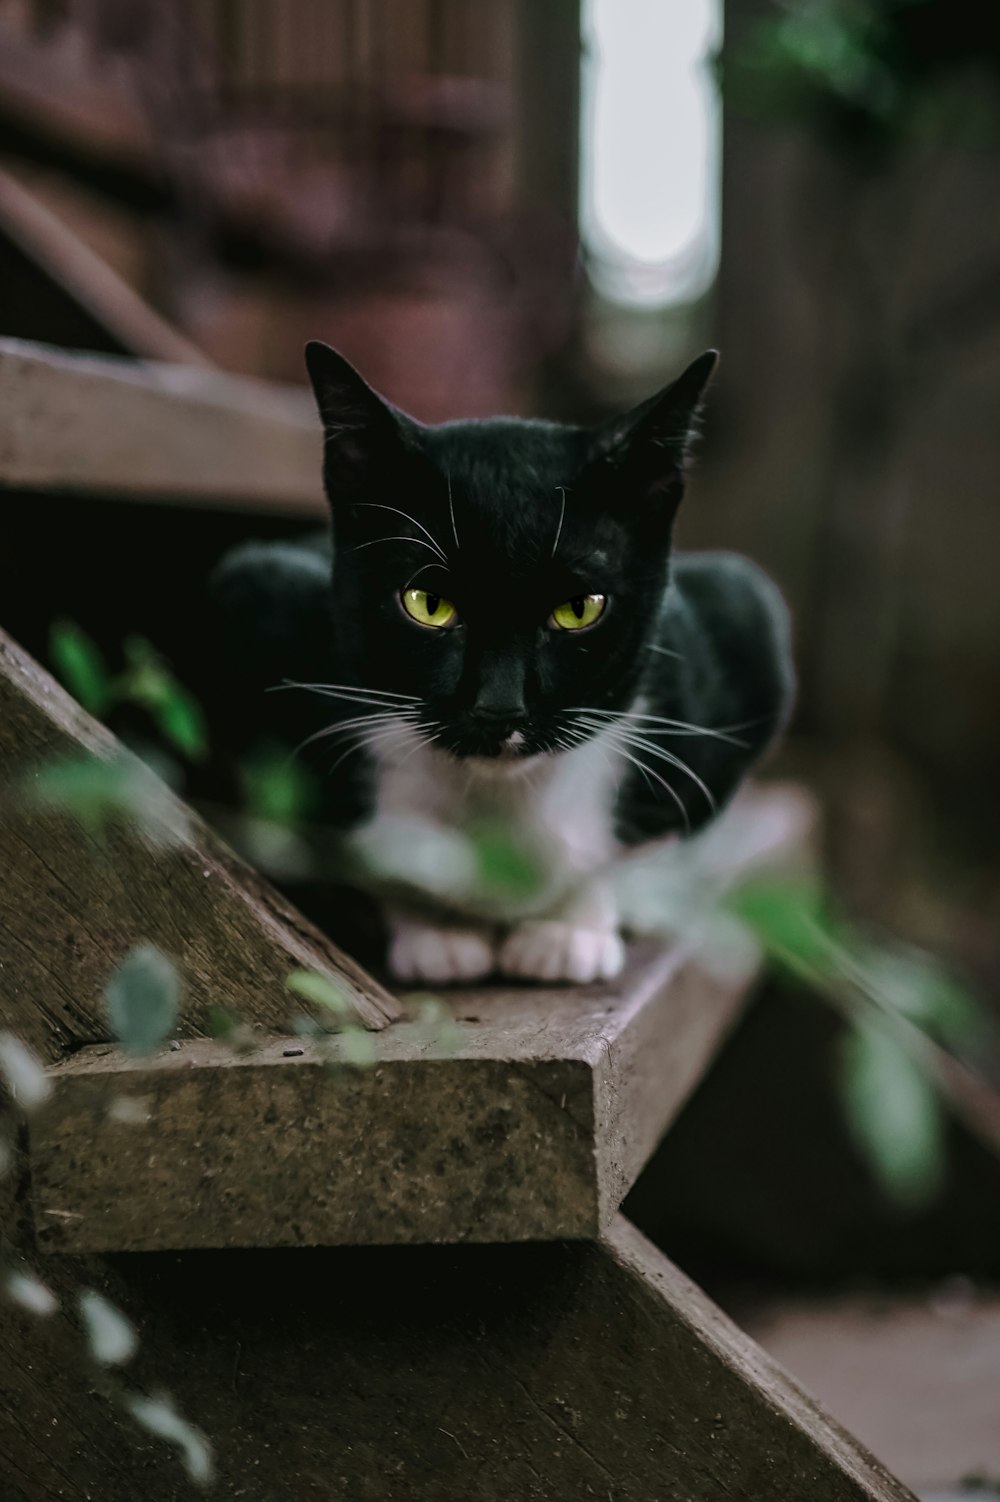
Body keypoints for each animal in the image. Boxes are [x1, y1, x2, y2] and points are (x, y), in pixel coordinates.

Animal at [211, 345, 792, 991]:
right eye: (428, 604)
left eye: (578, 609)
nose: (499, 705)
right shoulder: (257, 599)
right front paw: (436, 935)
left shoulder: (740, 615)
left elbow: (627, 854)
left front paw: (569, 932)